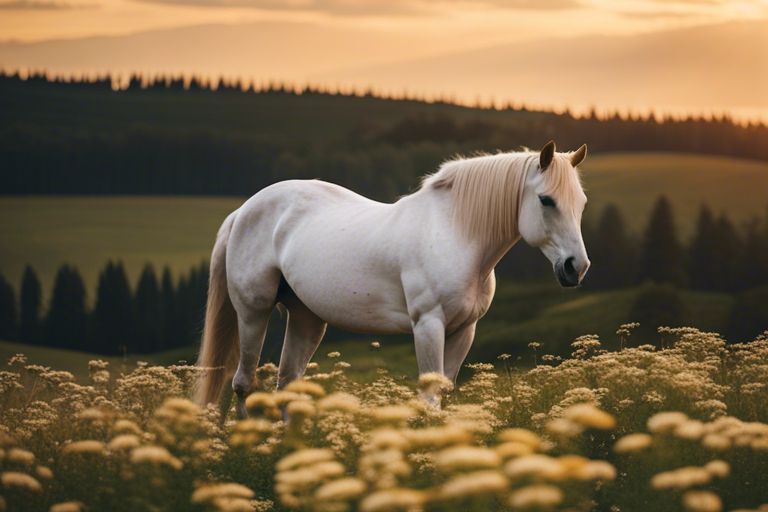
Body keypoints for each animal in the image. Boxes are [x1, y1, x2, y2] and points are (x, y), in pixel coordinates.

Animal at [194, 140, 590, 416]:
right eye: (546, 200)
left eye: (582, 202)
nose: (577, 267)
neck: (455, 233)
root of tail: (243, 211)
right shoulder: (428, 326)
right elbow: (430, 399)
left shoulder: (464, 331)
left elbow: (443, 395)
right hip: (253, 312)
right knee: (243, 383)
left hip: (306, 319)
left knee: (287, 385)